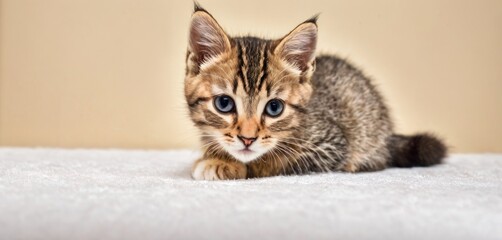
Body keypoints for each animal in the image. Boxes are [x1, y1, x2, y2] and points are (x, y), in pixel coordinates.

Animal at [184, 3, 448, 180]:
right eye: (224, 104)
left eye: (274, 108)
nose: (247, 139)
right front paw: (216, 156)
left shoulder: (332, 145)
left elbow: (274, 162)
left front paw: (230, 164)